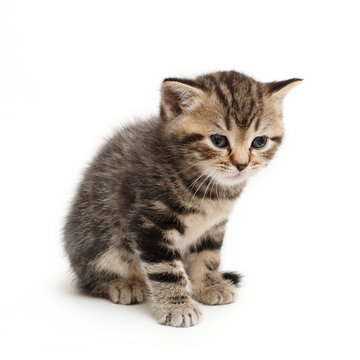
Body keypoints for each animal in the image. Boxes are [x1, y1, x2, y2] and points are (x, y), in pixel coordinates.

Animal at [63, 69, 300, 326]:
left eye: (259, 141)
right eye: (218, 140)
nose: (241, 164)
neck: (208, 186)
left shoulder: (214, 226)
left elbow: (208, 255)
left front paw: (209, 285)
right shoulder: (150, 222)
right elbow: (166, 269)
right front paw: (178, 306)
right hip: (95, 240)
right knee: (91, 278)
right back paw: (122, 283)